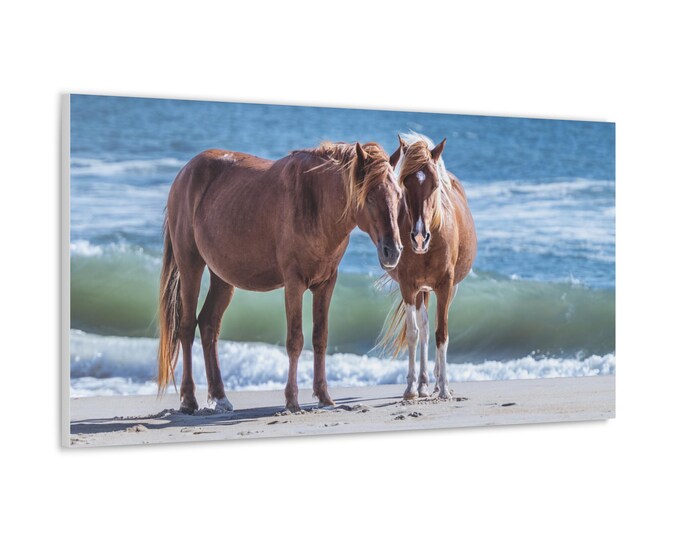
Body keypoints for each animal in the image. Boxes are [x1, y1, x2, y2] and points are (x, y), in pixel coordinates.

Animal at [157, 142, 403, 413]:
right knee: (187, 327)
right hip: (190, 265)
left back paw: (220, 397)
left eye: (398, 195)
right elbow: (295, 340)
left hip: (222, 278)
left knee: (209, 325)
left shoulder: (326, 284)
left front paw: (324, 396)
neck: (316, 202)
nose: (393, 251)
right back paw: (188, 399)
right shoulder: (294, 284)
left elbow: (320, 337)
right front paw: (292, 400)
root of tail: (185, 173)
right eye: (368, 196)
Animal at [379, 132, 477, 400]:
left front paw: (443, 387)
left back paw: (434, 382)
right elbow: (414, 333)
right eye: (405, 184)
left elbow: (441, 334)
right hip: (422, 289)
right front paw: (412, 387)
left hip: (448, 288)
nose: (420, 237)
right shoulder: (409, 286)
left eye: (434, 185)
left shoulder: (445, 285)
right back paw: (423, 383)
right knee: (422, 328)